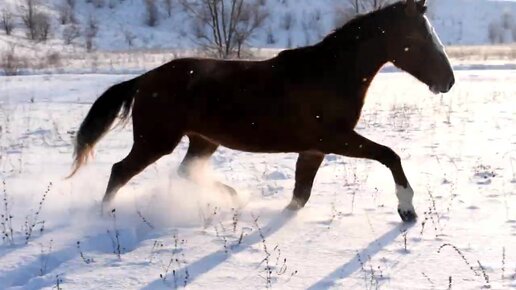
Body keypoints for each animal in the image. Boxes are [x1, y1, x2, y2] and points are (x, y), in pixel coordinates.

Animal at [67, 0, 452, 222]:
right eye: (418, 39)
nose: (447, 81)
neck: (329, 73)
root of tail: (144, 79)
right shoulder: (335, 139)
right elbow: (389, 155)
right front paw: (407, 209)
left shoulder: (314, 149)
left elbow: (300, 195)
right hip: (156, 141)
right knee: (120, 170)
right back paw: (103, 216)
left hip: (203, 140)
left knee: (185, 171)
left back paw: (233, 198)